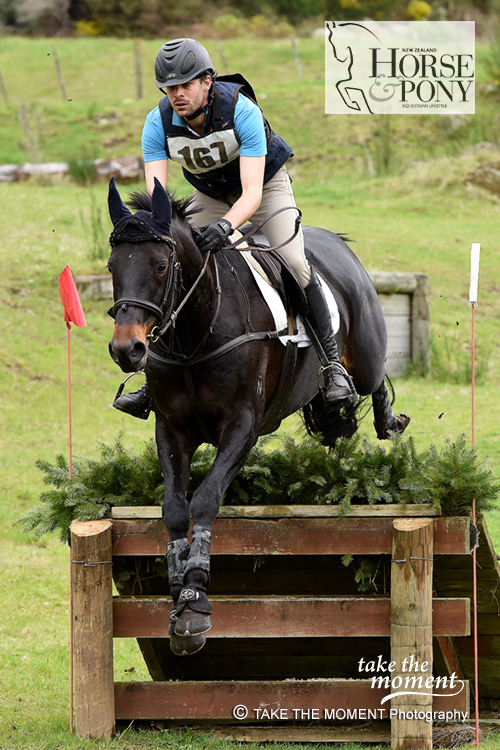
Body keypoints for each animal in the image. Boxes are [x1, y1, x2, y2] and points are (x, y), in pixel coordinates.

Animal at [107, 176, 408, 656]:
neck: (196, 331)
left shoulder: (242, 428)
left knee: (374, 378)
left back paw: (384, 417)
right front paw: (176, 591)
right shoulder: (172, 431)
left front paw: (195, 599)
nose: (126, 350)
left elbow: (205, 499)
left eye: (160, 266)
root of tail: (336, 242)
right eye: (112, 267)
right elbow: (174, 508)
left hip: (364, 351)